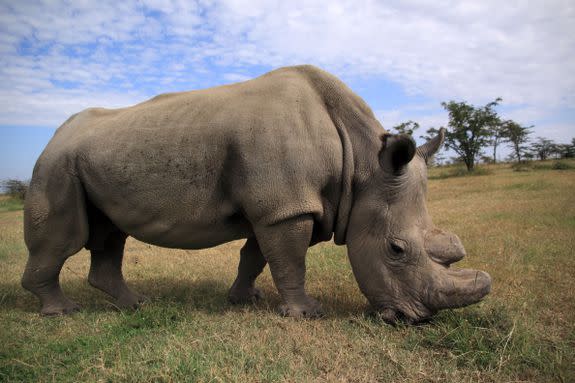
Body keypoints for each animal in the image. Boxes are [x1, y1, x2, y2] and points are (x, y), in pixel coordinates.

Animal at [22, 66, 490, 324]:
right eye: (396, 249)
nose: (416, 320)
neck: (362, 166)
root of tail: (56, 134)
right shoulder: (287, 207)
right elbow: (289, 260)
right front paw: (307, 314)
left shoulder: (283, 205)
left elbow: (258, 256)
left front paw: (245, 299)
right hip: (56, 164)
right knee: (65, 239)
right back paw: (63, 312)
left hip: (91, 158)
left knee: (109, 234)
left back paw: (135, 305)